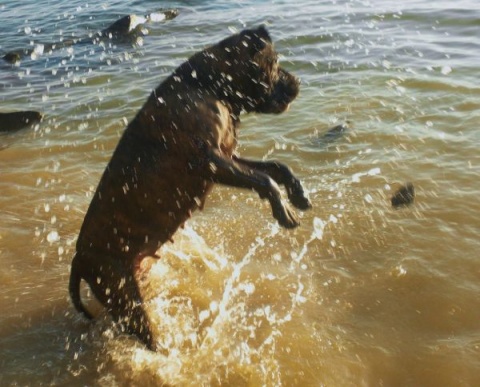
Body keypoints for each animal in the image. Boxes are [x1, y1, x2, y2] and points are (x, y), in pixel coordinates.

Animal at [69, 25, 314, 350]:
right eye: (275, 62)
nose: (297, 82)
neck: (207, 86)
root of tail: (78, 259)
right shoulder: (209, 162)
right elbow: (265, 179)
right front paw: (283, 210)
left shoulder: (228, 156)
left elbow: (276, 167)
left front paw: (298, 194)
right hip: (123, 294)